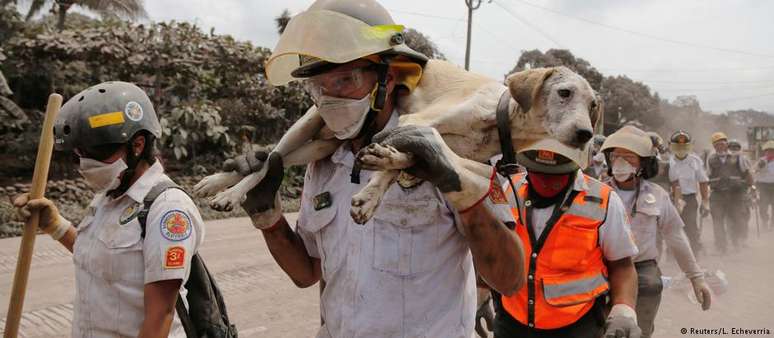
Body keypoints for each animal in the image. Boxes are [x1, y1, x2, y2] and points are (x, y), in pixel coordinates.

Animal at [192, 60, 600, 224]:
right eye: (564, 93)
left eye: (593, 105)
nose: (586, 135)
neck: (501, 117)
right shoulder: (416, 121)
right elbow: (409, 145)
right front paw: (376, 178)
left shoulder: (429, 145)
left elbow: (402, 161)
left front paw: (373, 188)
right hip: (307, 124)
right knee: (267, 160)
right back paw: (226, 192)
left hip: (318, 145)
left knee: (273, 161)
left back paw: (215, 183)